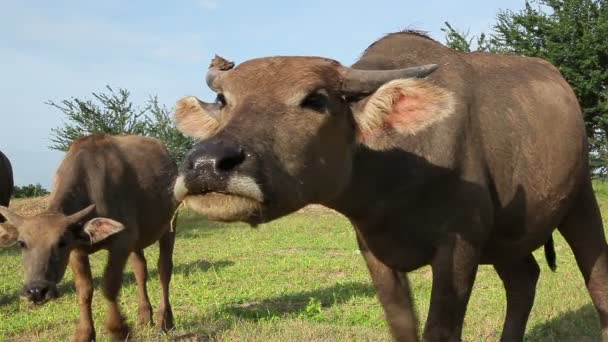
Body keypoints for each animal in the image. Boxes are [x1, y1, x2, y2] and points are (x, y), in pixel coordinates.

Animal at [0, 134, 179, 342]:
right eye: (21, 243)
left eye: (61, 243)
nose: (37, 291)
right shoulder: (77, 252)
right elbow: (84, 291)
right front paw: (85, 333)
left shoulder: (121, 243)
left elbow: (110, 287)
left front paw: (118, 329)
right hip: (138, 241)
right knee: (140, 269)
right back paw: (144, 317)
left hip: (170, 225)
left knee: (164, 269)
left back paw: (165, 320)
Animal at [172, 30, 608, 340]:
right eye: (223, 99)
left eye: (315, 99)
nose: (208, 164)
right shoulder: (374, 251)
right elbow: (403, 327)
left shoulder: (459, 247)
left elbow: (440, 332)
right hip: (508, 236)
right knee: (523, 280)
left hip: (581, 199)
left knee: (596, 280)